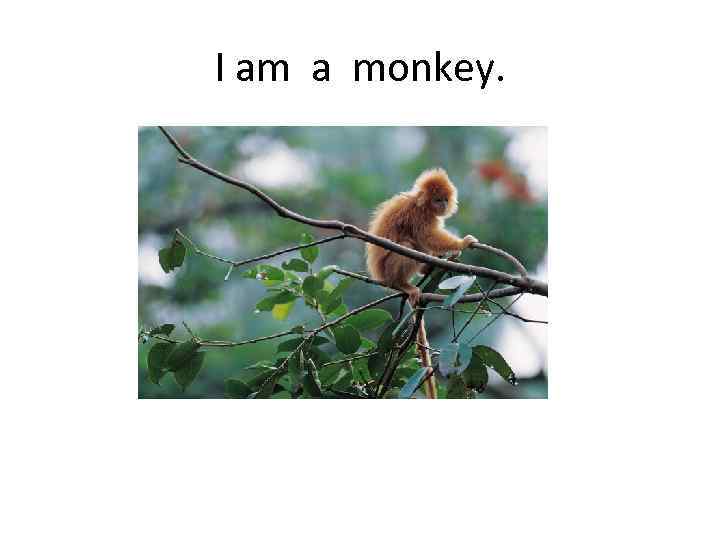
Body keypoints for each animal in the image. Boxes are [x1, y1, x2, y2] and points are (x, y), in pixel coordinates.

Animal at [366, 168, 477, 398]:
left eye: (444, 199)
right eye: (437, 200)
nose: (442, 205)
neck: (421, 204)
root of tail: (381, 277)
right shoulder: (420, 216)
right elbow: (428, 235)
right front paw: (462, 243)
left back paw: (429, 267)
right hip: (390, 268)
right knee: (409, 243)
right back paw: (403, 284)